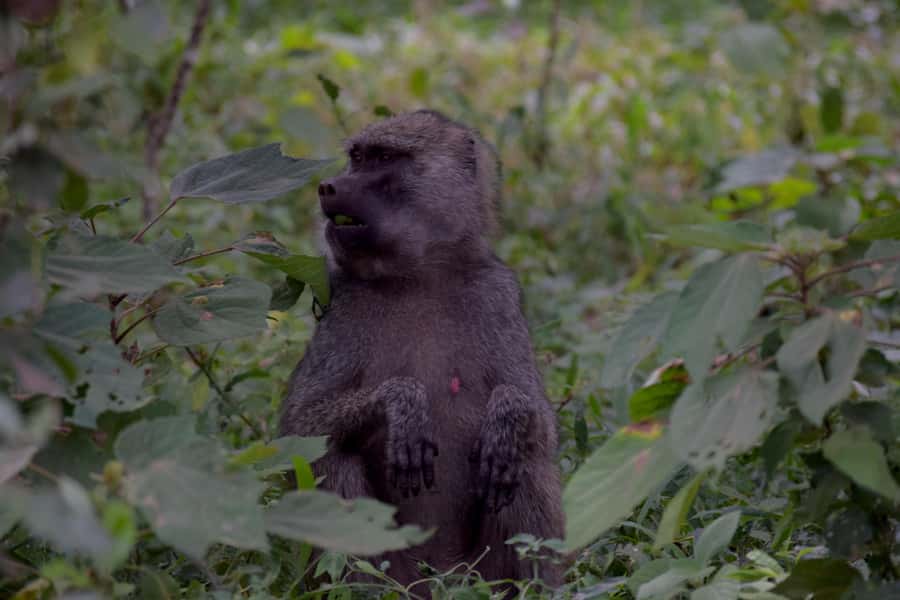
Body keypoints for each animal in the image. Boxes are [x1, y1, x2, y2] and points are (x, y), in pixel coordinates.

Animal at [279, 110, 564, 592]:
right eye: (358, 157)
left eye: (384, 158)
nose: (329, 186)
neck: (420, 275)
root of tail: (442, 574)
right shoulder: (344, 307)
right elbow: (299, 427)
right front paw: (402, 405)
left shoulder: (498, 295)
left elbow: (539, 422)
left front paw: (506, 415)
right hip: (401, 567)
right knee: (334, 458)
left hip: (483, 572)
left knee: (519, 460)